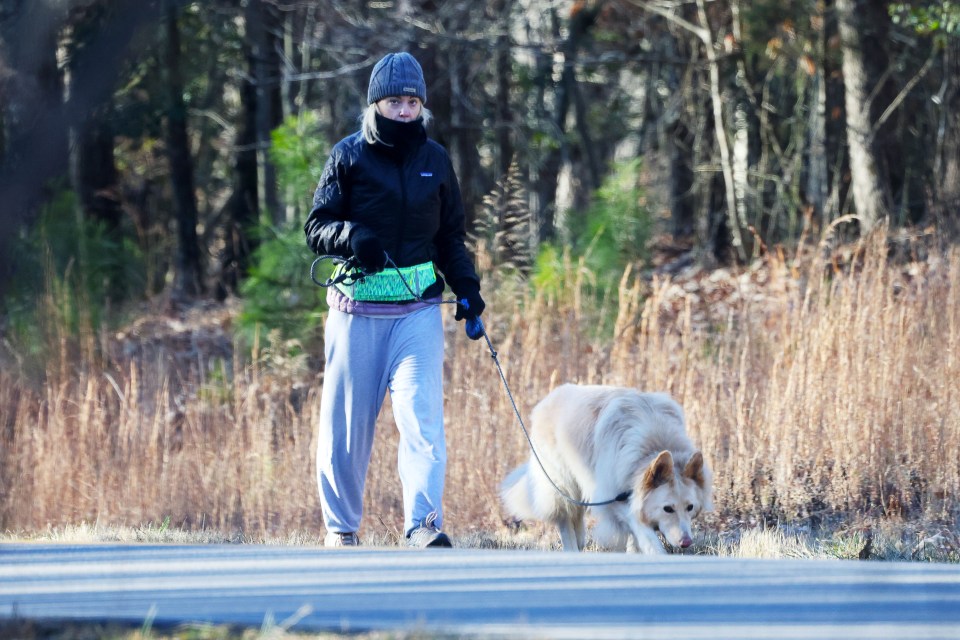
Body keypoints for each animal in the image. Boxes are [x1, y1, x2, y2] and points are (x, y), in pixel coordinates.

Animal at [502, 382, 712, 552]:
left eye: (690, 507)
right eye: (668, 509)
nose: (686, 543)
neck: (649, 449)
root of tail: (549, 398)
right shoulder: (613, 498)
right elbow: (645, 534)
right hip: (561, 485)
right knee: (565, 519)